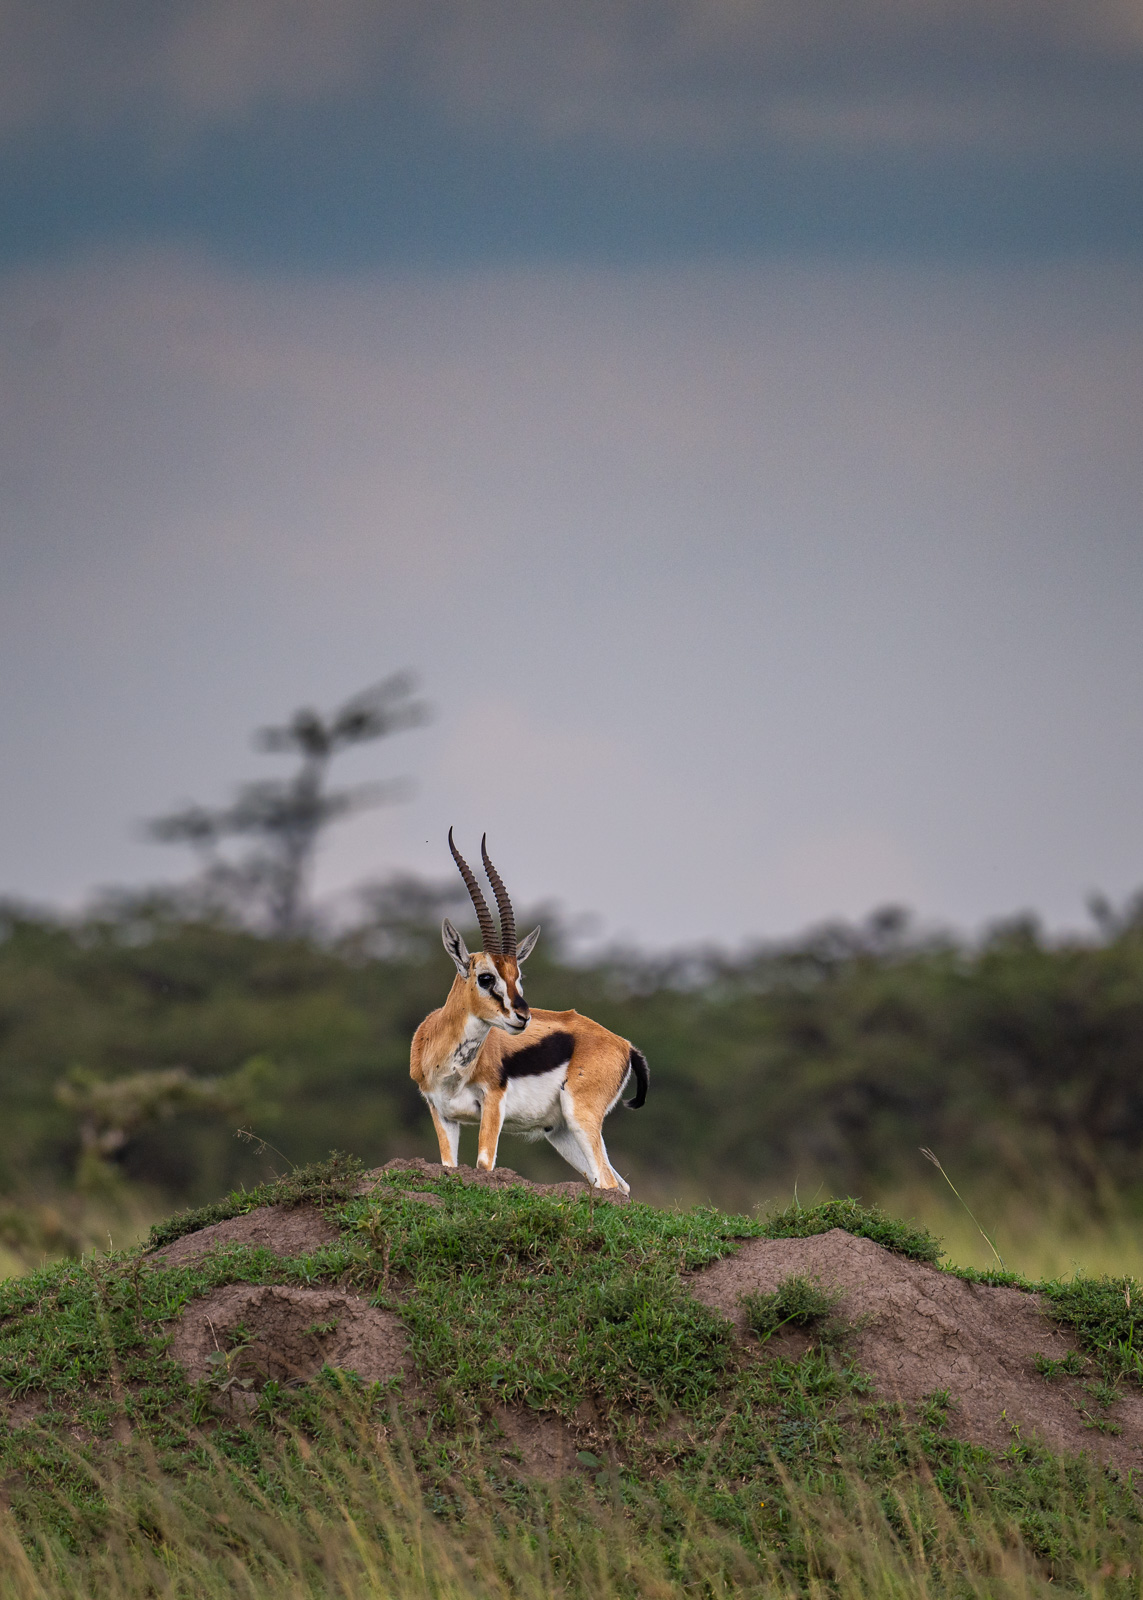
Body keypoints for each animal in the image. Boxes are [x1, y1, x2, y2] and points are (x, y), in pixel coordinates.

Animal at [409, 832, 649, 1192]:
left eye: (517, 976)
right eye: (486, 977)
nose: (522, 1016)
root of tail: (625, 1045)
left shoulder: (493, 1103)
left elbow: (484, 1164)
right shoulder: (442, 1113)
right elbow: (449, 1165)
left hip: (580, 1118)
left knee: (608, 1183)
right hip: (562, 1132)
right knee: (617, 1186)